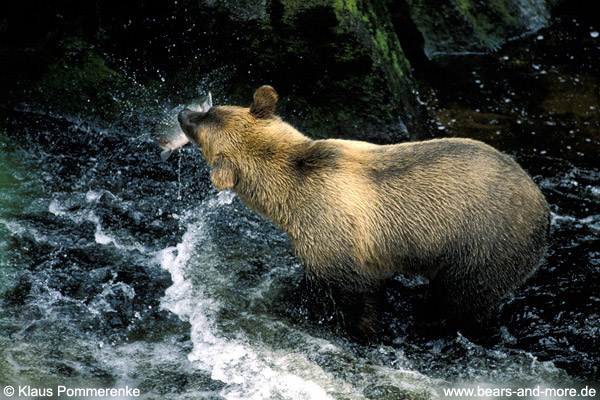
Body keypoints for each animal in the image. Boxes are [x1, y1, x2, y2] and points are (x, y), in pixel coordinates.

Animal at [177, 86, 548, 340]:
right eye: (211, 109)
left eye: (201, 127)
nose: (182, 112)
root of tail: (542, 205)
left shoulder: (333, 235)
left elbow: (357, 293)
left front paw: (361, 330)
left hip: (485, 246)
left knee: (464, 302)